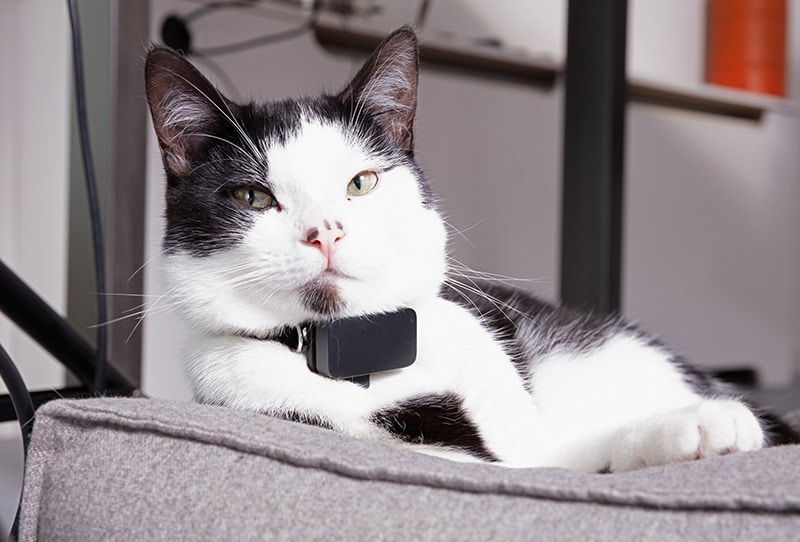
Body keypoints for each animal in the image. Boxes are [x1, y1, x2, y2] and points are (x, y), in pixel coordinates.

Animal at [144, 26, 792, 476]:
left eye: (362, 183)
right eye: (252, 196)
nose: (325, 232)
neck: (359, 360)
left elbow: (561, 455)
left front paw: (704, 425)